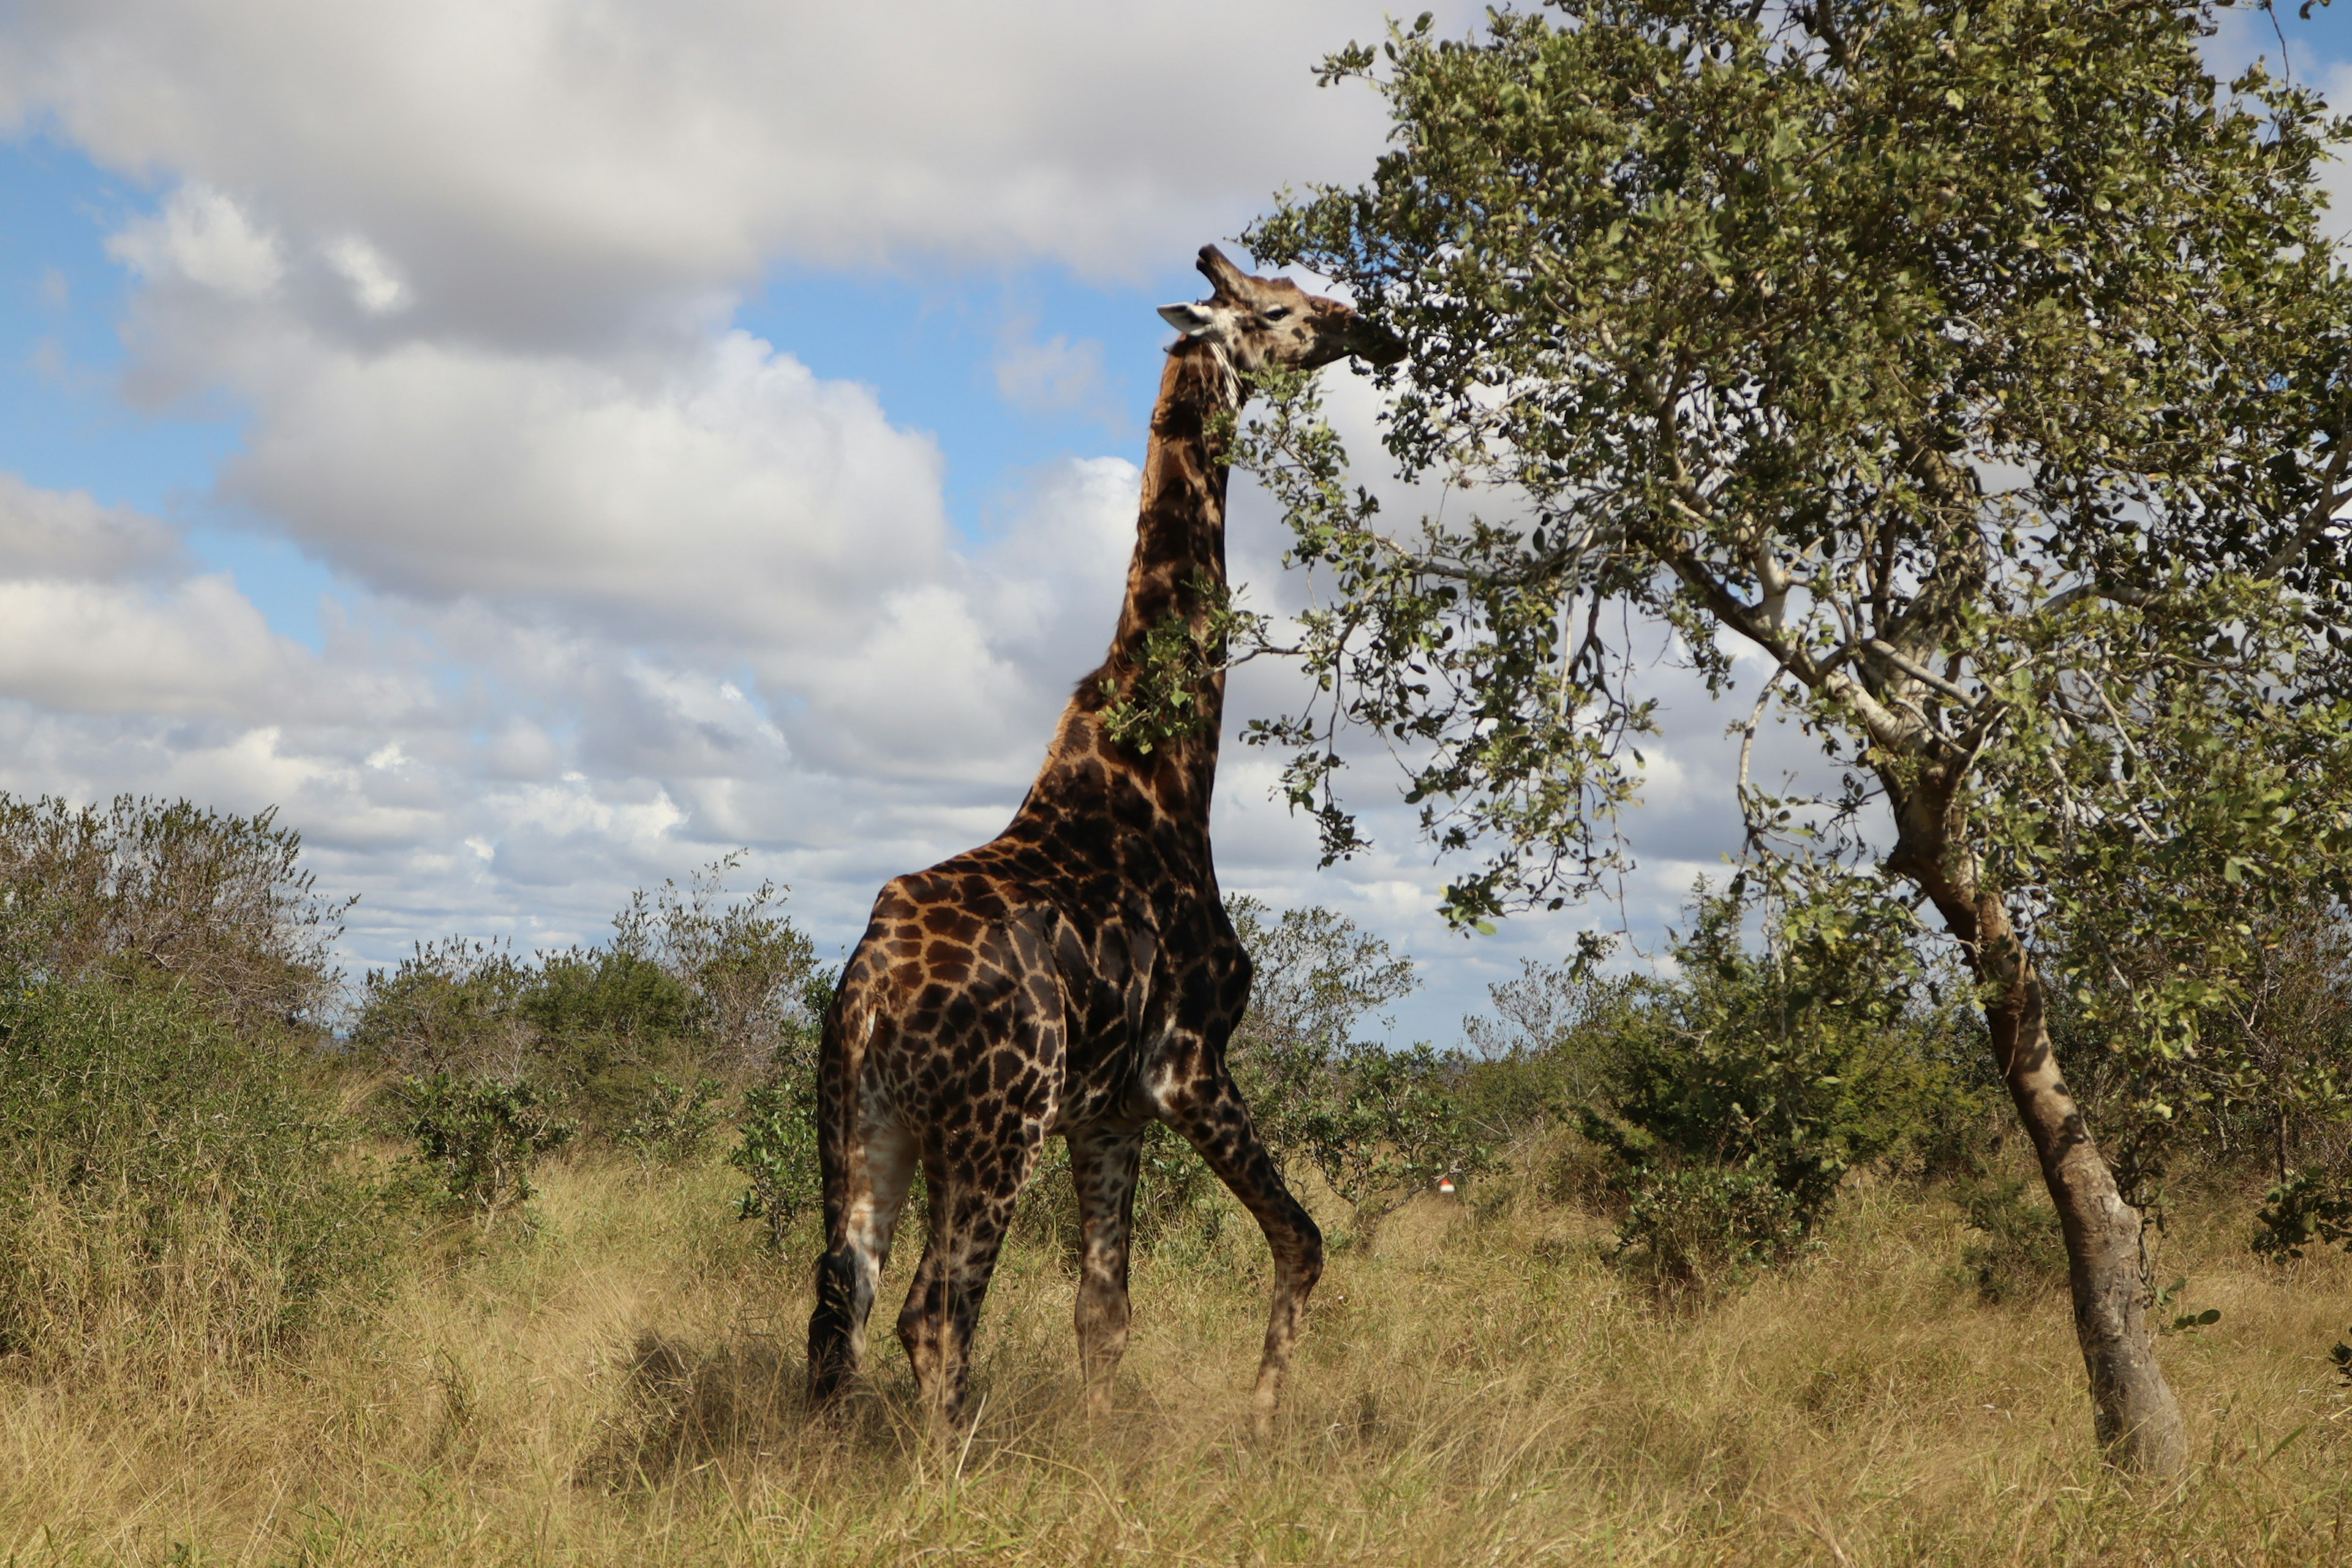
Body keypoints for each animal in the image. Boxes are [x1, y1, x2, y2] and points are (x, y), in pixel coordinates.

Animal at [809, 242, 1392, 1438]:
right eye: (1279, 309)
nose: (1374, 329)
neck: (1164, 772)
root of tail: (870, 995)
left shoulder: (1109, 1113)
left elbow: (1105, 1311)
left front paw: (1099, 1445)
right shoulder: (1189, 1064)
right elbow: (1304, 1240)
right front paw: (1261, 1424)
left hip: (870, 1125)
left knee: (843, 1304)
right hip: (996, 1125)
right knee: (936, 1313)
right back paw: (951, 1469)